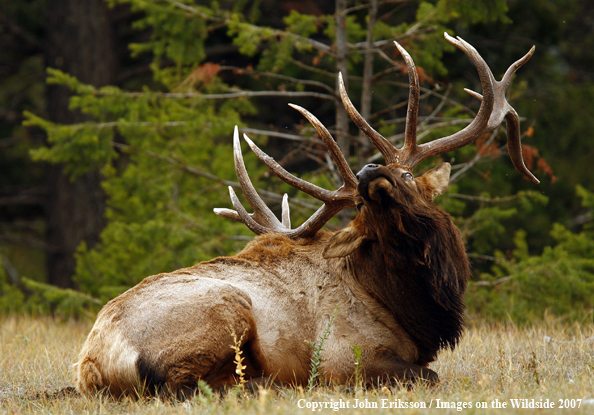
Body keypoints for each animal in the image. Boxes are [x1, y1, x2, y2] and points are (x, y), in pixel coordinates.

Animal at [71, 33, 536, 400]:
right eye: (363, 206)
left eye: (406, 174)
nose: (369, 172)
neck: (415, 311)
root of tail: (91, 364)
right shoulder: (344, 356)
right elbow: (430, 375)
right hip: (226, 308)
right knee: (189, 386)